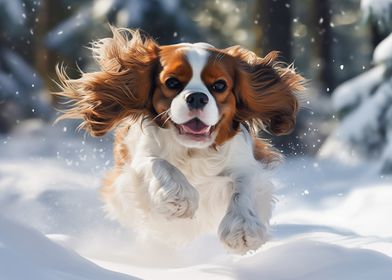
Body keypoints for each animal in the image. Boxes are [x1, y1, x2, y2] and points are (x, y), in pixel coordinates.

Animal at [56, 27, 304, 255]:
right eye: (172, 83)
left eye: (220, 85)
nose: (197, 97)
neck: (193, 151)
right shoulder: (137, 161)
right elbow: (158, 163)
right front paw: (179, 197)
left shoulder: (246, 165)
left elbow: (244, 187)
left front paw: (242, 229)